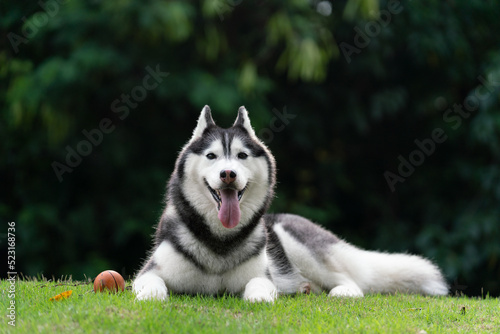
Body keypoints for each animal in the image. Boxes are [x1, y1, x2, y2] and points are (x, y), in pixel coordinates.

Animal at [134, 105, 450, 302]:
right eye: (212, 156)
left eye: (241, 156)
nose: (228, 174)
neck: (220, 240)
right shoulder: (149, 272)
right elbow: (150, 284)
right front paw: (151, 296)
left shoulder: (263, 274)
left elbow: (260, 284)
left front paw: (260, 297)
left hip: (298, 244)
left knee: (351, 281)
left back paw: (340, 292)